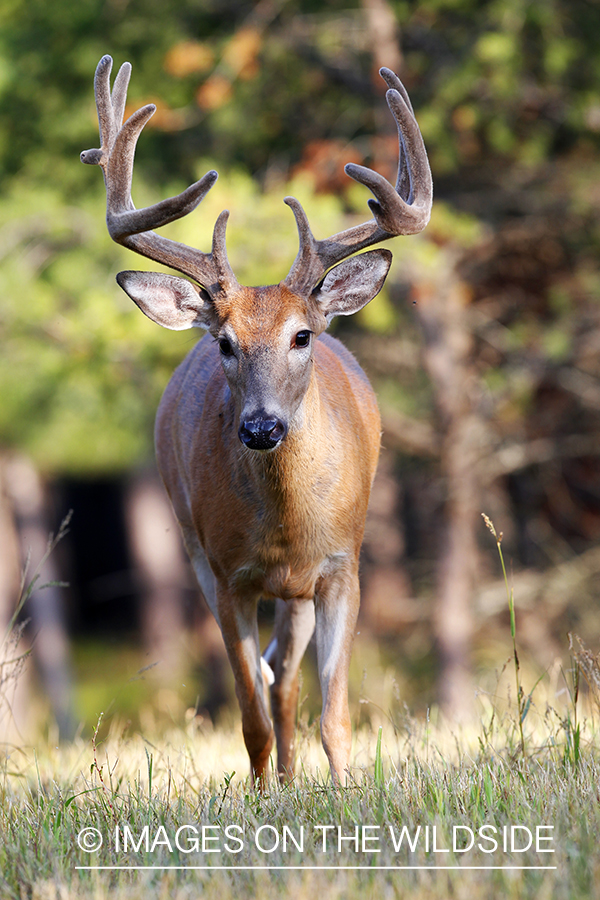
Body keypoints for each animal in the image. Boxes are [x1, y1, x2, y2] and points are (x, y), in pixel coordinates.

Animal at [83, 56, 432, 784]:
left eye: (302, 335)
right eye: (225, 342)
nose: (262, 428)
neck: (287, 525)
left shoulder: (343, 566)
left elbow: (335, 714)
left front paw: (344, 791)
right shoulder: (226, 576)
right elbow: (249, 719)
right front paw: (266, 797)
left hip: (302, 589)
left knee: (288, 679)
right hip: (194, 547)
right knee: (273, 683)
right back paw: (286, 783)